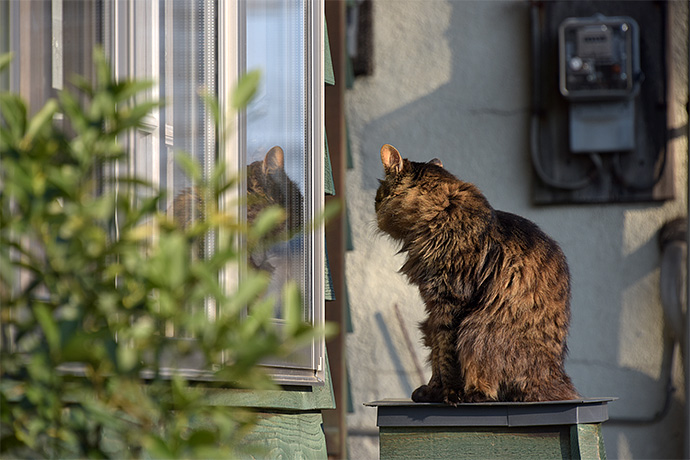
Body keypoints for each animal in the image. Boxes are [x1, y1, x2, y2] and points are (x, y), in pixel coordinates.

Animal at [374, 143, 576, 402]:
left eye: (378, 194)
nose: (375, 207)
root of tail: (555, 375)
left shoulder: (450, 301)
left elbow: (447, 356)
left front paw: (450, 393)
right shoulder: (433, 308)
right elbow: (436, 353)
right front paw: (432, 390)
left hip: (475, 328)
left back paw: (476, 394)